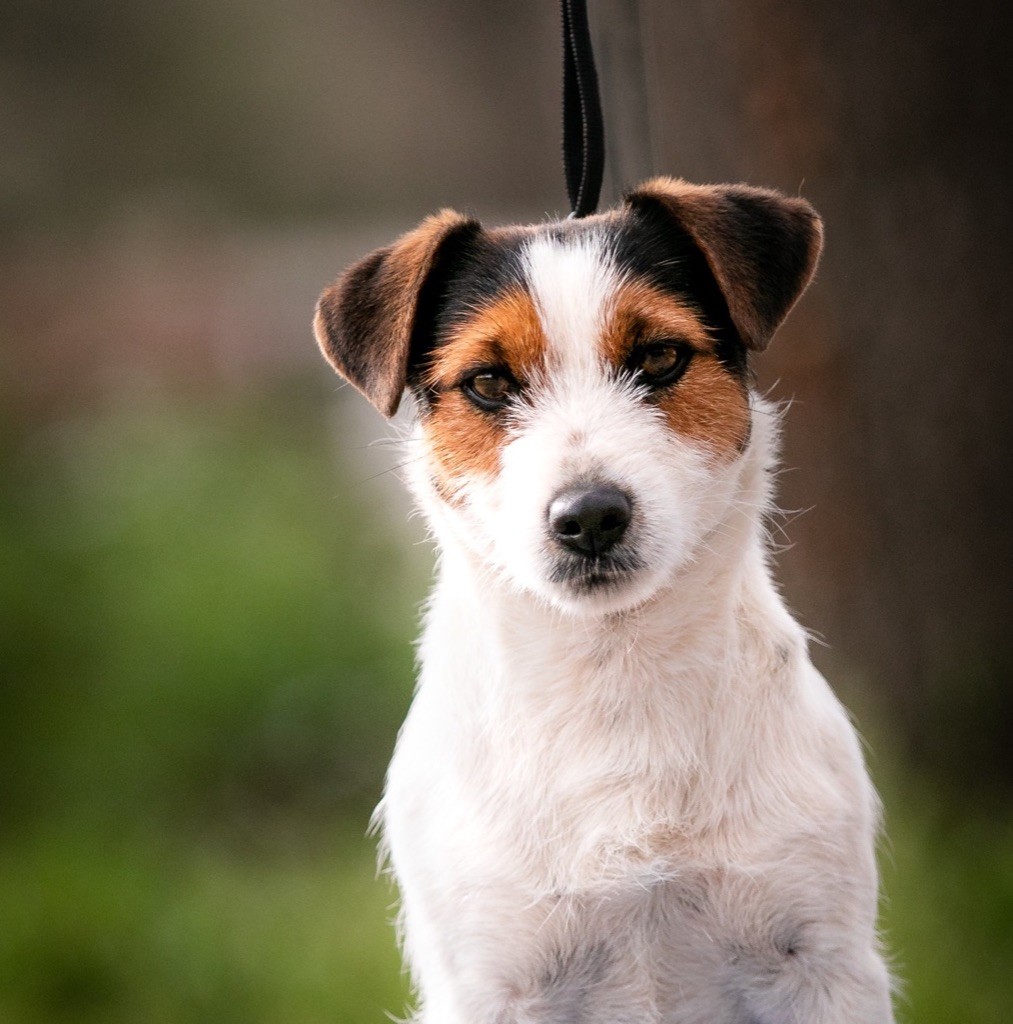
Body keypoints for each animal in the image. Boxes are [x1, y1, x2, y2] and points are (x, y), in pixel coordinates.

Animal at [309, 180, 893, 1024]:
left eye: (659, 356)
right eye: (488, 381)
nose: (588, 517)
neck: (615, 670)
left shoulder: (821, 965)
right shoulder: (491, 981)